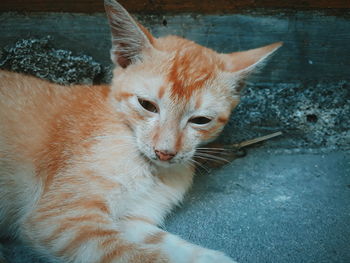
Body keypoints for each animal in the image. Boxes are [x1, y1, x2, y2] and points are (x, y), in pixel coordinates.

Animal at [0, 0, 282, 262]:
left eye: (200, 120)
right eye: (147, 105)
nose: (165, 152)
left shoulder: (131, 220)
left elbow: (169, 245)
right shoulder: (62, 219)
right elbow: (140, 255)